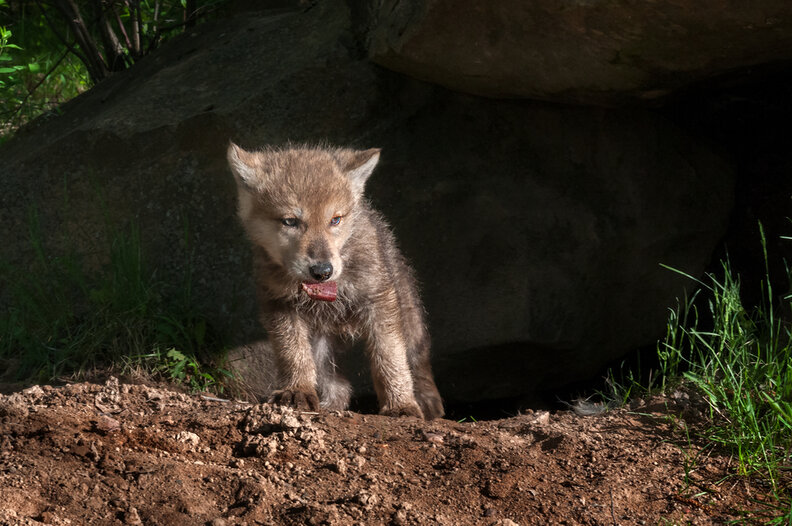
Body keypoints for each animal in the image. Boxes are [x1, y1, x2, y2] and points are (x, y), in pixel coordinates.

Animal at [227, 143, 444, 420]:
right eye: (290, 221)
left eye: (335, 220)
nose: (322, 270)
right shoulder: (280, 305)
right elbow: (294, 355)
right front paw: (297, 390)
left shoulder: (379, 303)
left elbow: (390, 359)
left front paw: (401, 405)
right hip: (323, 342)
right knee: (337, 383)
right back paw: (331, 406)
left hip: (409, 318)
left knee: (417, 359)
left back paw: (428, 403)